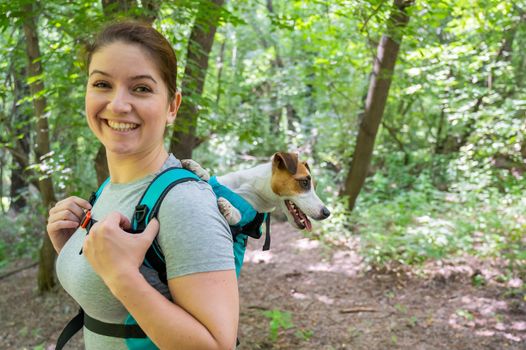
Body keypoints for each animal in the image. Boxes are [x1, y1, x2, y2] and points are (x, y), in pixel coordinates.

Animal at [182, 152, 330, 231]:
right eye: (305, 182)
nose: (327, 213)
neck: (254, 188)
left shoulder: (251, 216)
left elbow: (239, 218)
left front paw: (230, 209)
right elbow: (210, 179)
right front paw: (199, 169)